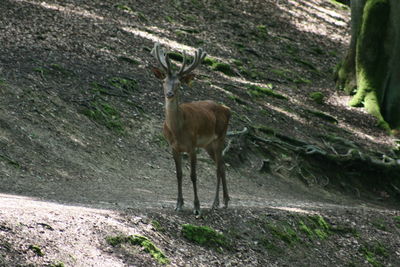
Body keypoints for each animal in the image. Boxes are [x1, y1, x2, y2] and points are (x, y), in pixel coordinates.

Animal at [151, 43, 231, 216]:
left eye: (179, 83)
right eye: (164, 81)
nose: (169, 93)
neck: (177, 130)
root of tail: (227, 109)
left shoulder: (192, 146)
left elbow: (193, 175)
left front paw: (197, 206)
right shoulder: (173, 147)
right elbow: (179, 174)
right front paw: (178, 204)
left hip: (220, 136)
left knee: (218, 167)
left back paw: (216, 203)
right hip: (208, 145)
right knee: (221, 165)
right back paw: (224, 201)